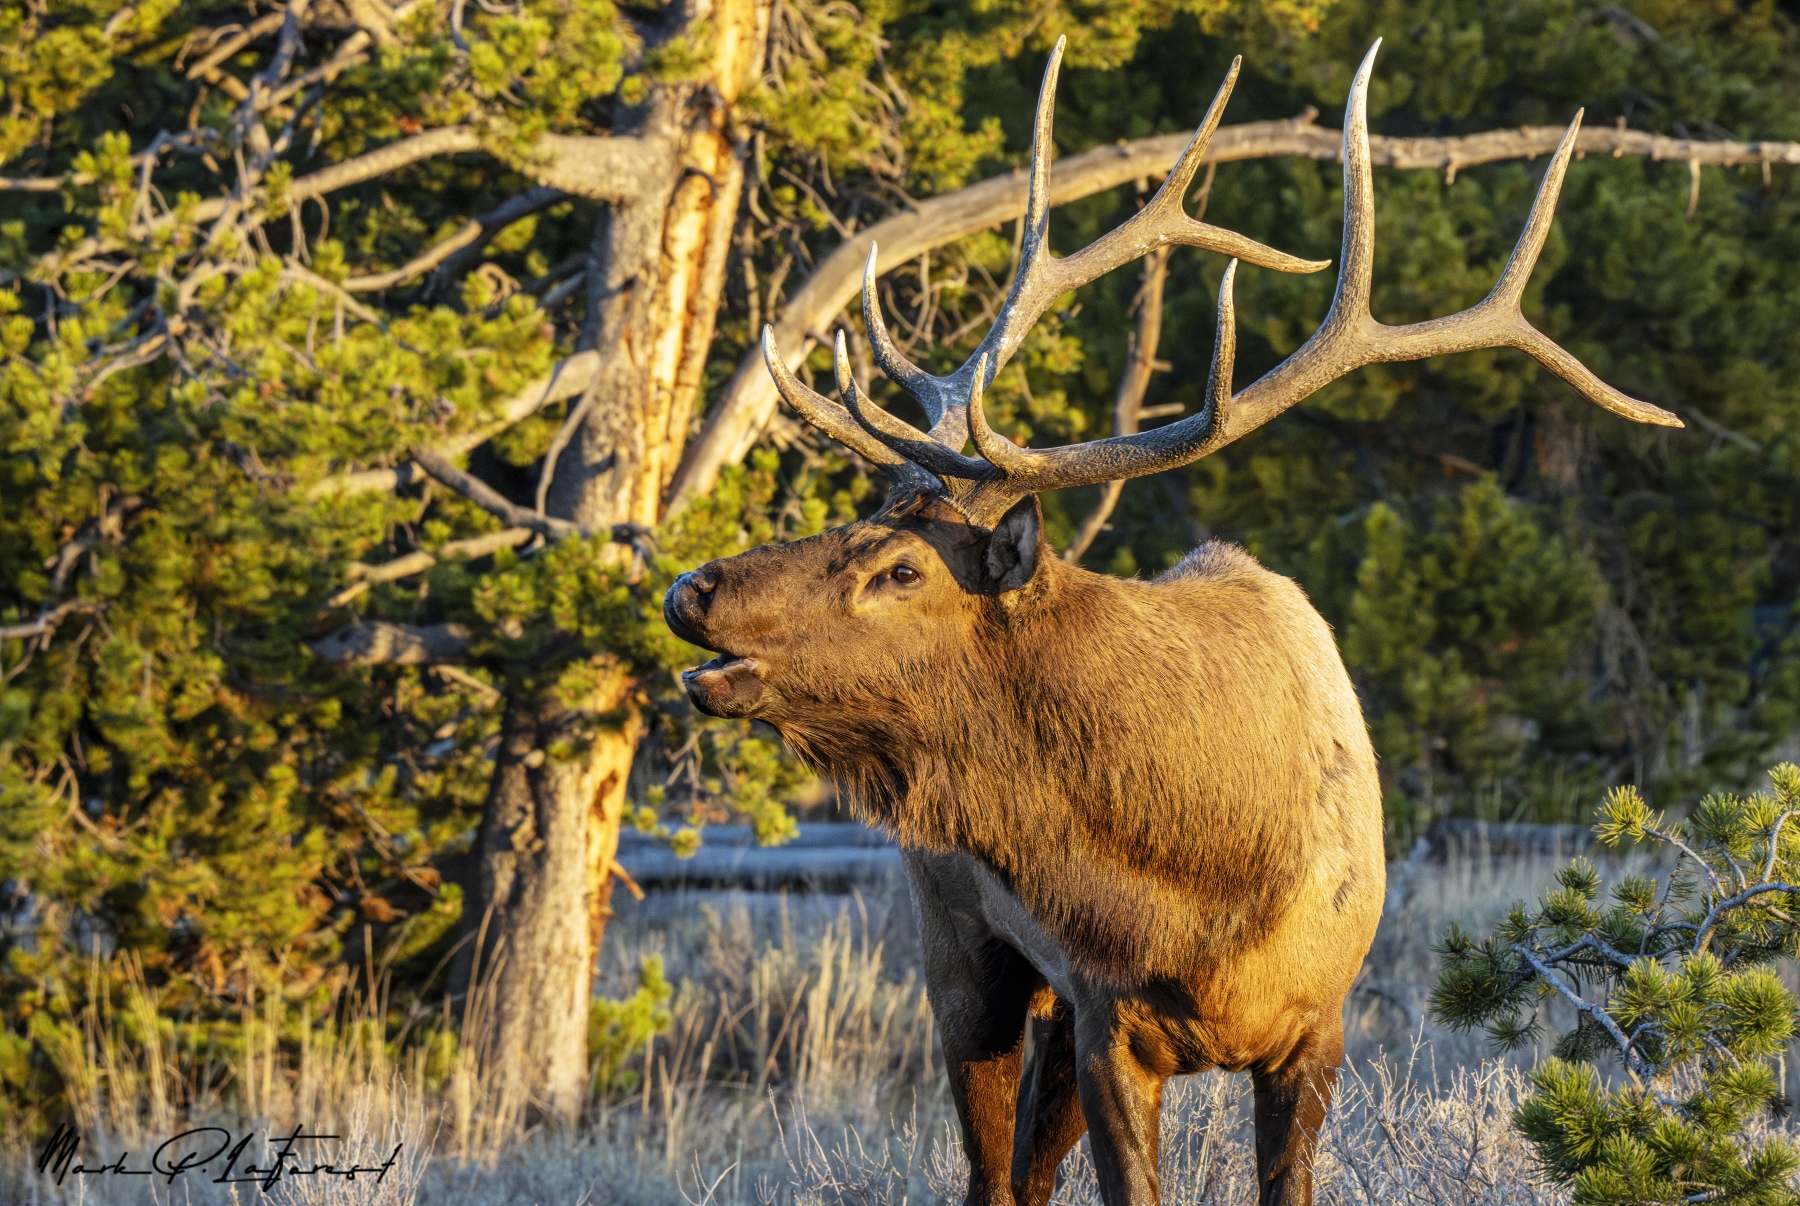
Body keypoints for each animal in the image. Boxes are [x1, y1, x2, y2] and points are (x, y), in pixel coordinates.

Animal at [663, 39, 1681, 1206]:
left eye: (901, 567)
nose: (691, 588)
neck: (1208, 881)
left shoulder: (1315, 1029)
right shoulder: (1109, 1018)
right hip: (960, 948)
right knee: (993, 1174)